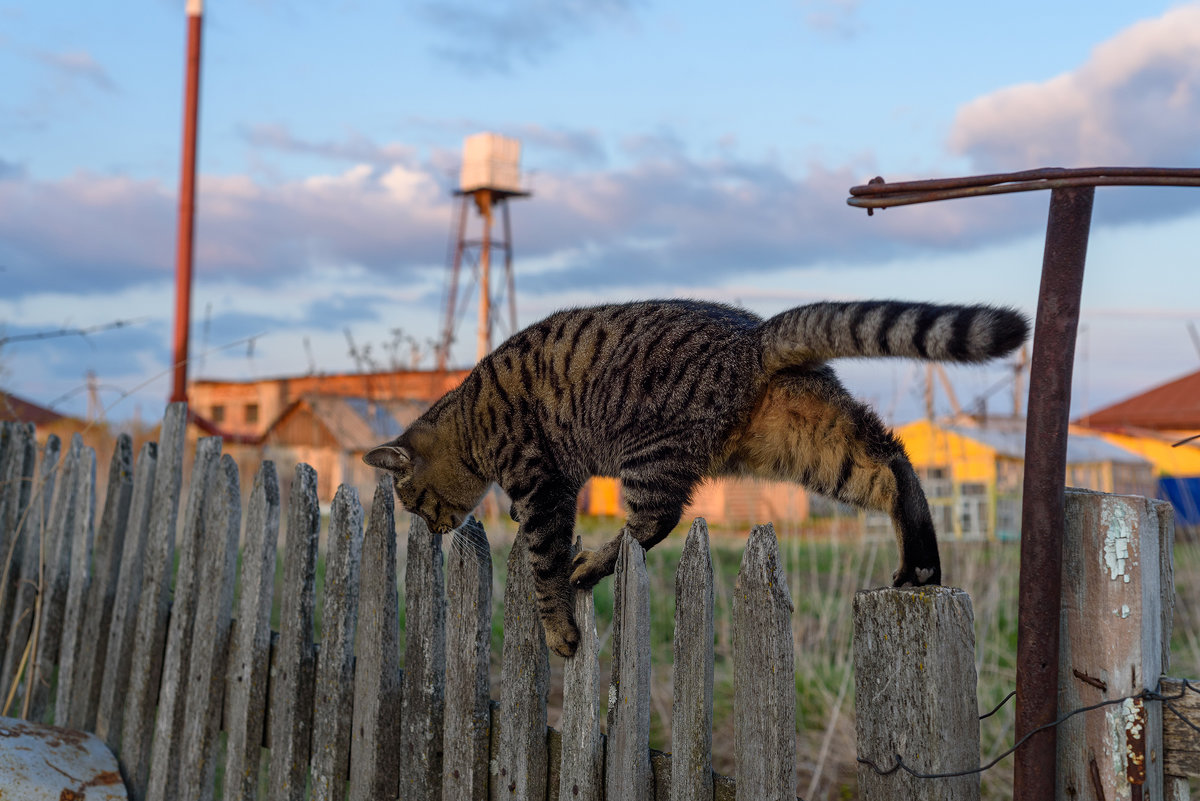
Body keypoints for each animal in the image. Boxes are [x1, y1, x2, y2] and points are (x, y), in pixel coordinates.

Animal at [360, 299, 1027, 657]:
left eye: (410, 499)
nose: (429, 527)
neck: (468, 421)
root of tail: (750, 337)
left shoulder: (542, 485)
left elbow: (543, 564)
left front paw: (559, 630)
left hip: (651, 455)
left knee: (654, 523)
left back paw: (592, 565)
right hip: (810, 441)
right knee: (892, 464)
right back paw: (920, 561)